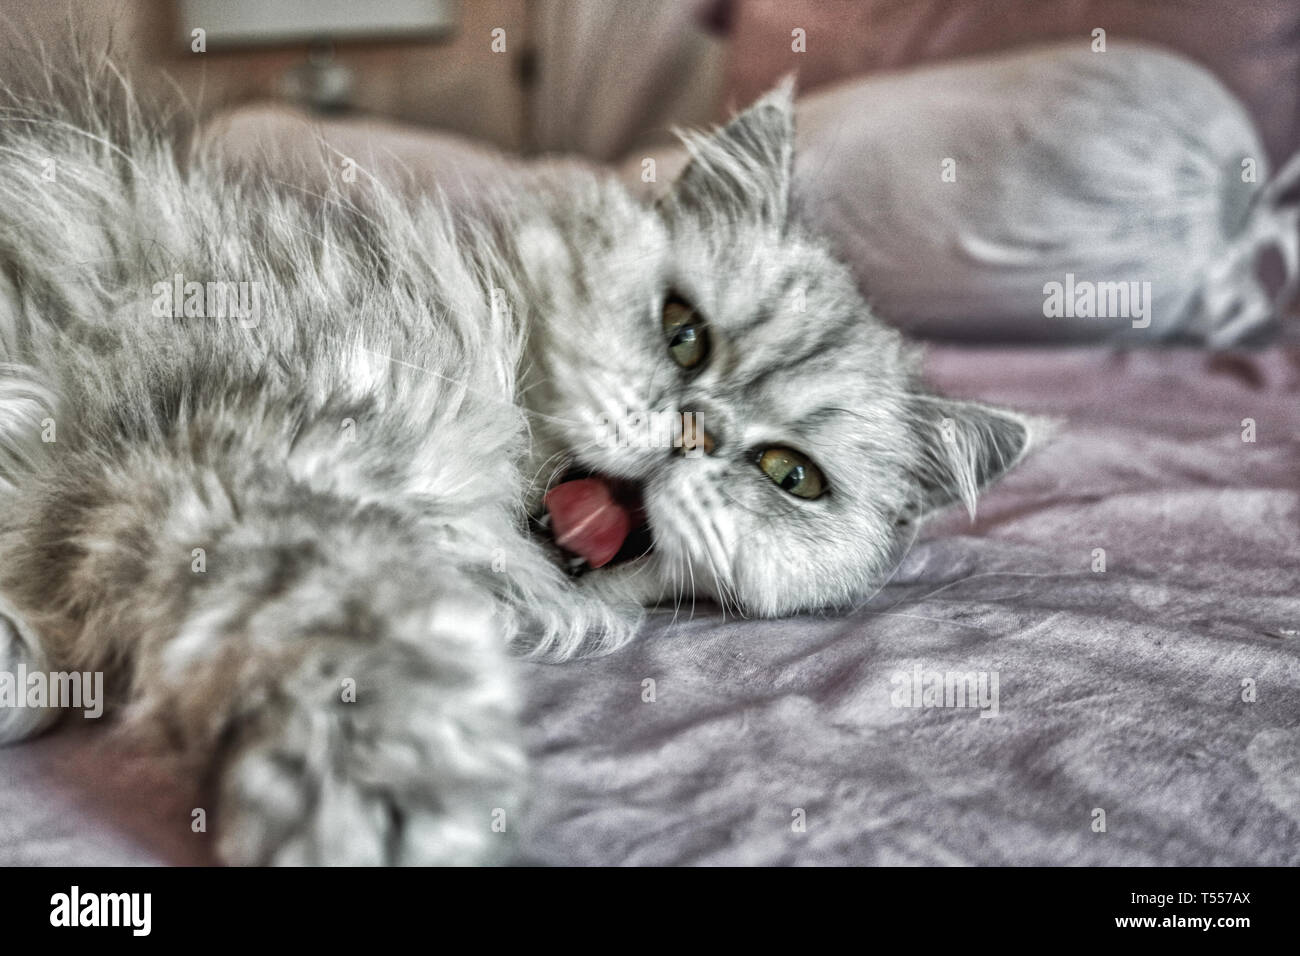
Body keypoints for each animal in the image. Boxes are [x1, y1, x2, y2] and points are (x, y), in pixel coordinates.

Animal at [0, 61, 1034, 868]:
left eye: (791, 477)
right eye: (683, 334)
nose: (691, 429)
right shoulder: (237, 458)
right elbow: (341, 629)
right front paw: (389, 793)